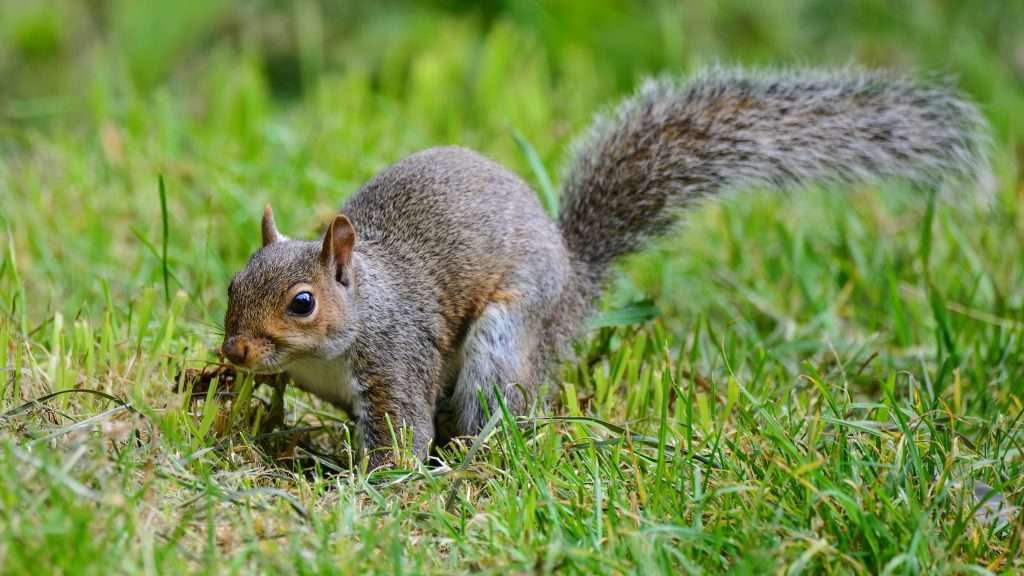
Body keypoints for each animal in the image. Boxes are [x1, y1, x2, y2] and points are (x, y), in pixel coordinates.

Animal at [221, 68, 991, 468]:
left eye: (301, 302)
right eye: (232, 283)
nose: (233, 351)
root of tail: (571, 281)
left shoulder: (396, 356)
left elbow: (402, 431)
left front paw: (374, 487)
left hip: (506, 335)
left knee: (501, 408)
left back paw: (473, 460)